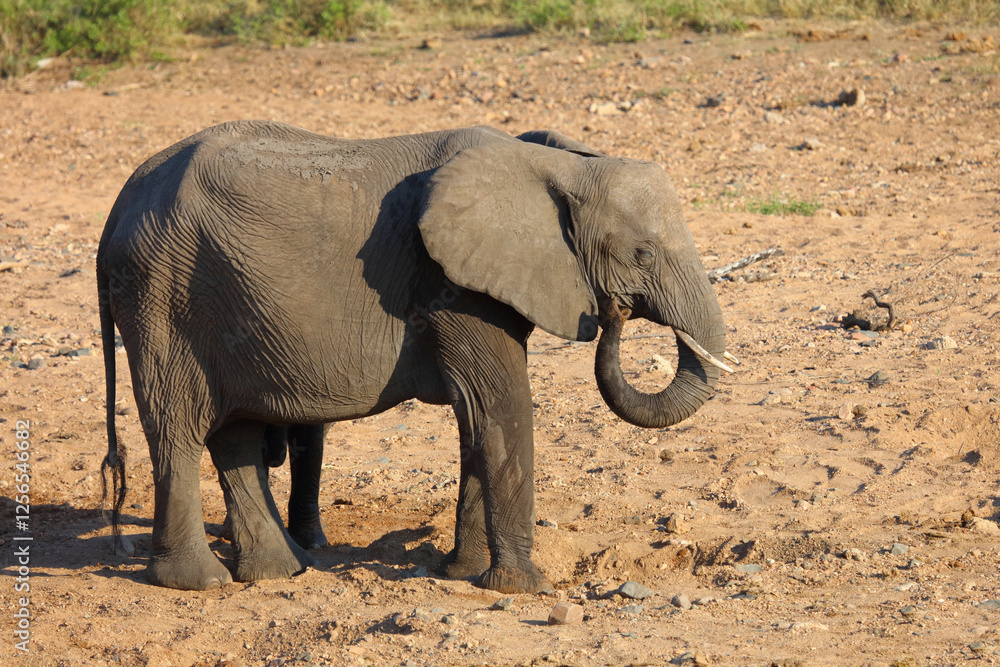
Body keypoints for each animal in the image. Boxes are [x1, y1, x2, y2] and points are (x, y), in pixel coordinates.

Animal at [97, 121, 729, 593]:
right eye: (643, 254)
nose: (616, 311)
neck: (552, 166)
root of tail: (119, 204)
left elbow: (477, 419)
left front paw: (462, 572)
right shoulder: (449, 282)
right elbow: (498, 407)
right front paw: (524, 587)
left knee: (235, 433)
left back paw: (279, 573)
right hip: (162, 295)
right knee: (179, 426)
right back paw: (198, 583)